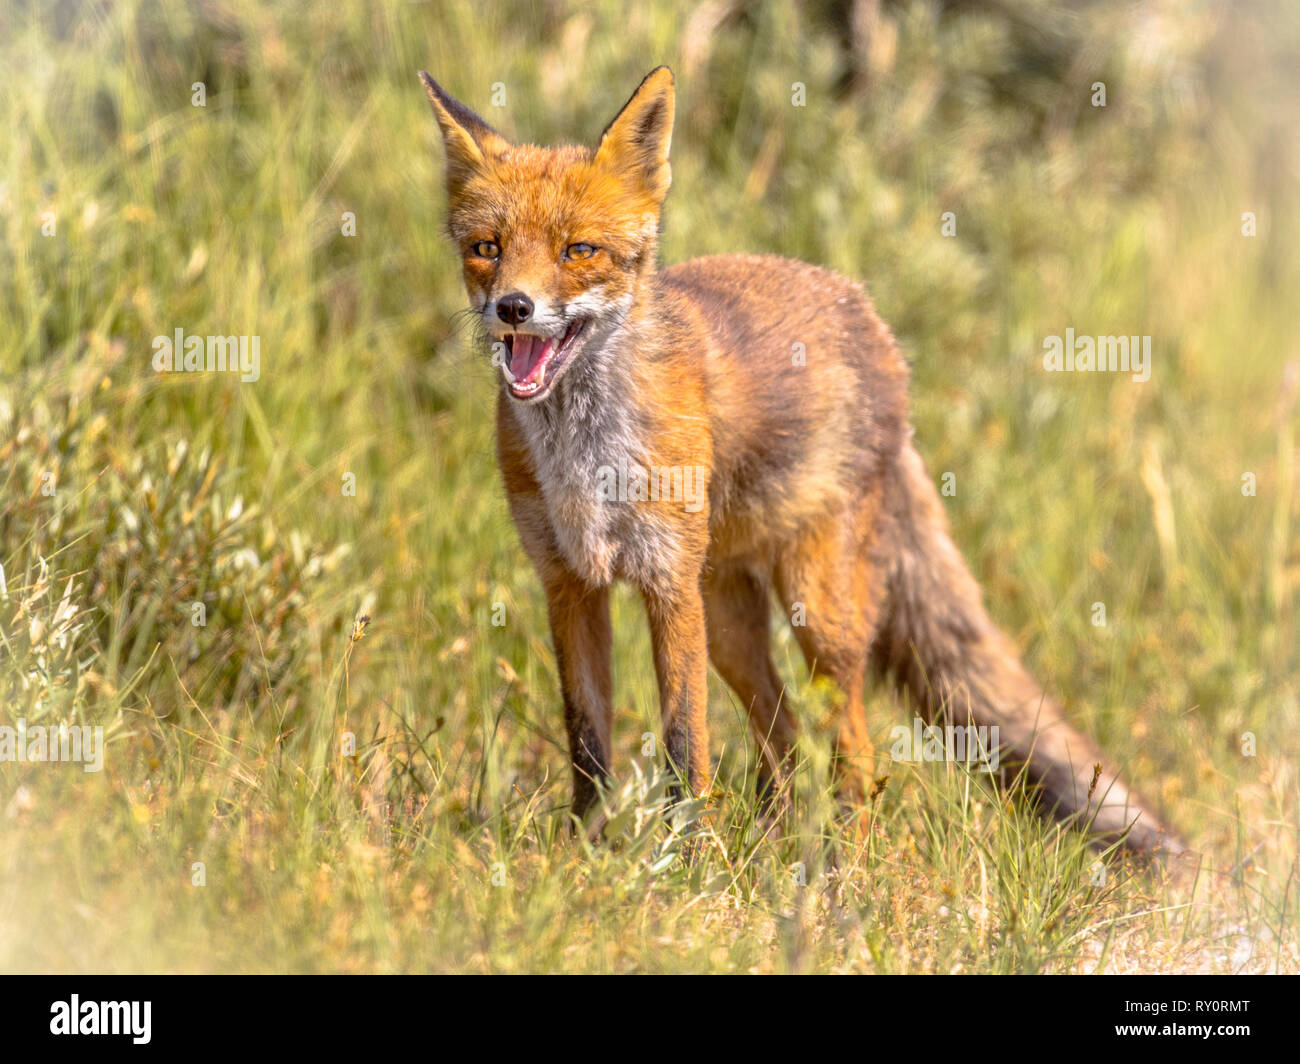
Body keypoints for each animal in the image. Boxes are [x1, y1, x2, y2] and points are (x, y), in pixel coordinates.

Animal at [419, 65, 1183, 855]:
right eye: (487, 247)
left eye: (578, 251)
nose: (513, 307)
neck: (585, 455)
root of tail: (870, 319)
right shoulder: (569, 583)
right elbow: (588, 740)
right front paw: (587, 853)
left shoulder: (667, 584)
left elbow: (684, 744)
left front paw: (686, 862)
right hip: (729, 623)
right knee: (785, 740)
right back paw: (788, 847)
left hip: (819, 616)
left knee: (854, 752)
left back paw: (847, 858)